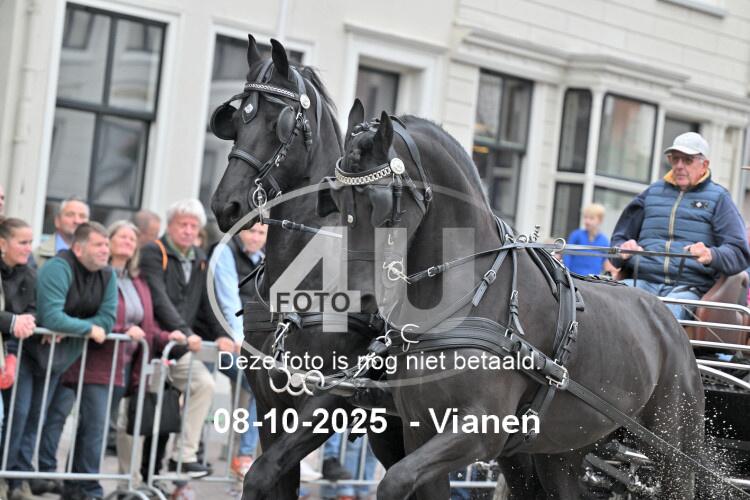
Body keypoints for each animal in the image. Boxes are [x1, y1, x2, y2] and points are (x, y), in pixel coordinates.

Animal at [209, 38, 405, 499]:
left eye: (276, 122)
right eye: (236, 120)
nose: (226, 206)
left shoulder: (330, 400)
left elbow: (260, 474)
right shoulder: (269, 405)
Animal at [316, 102, 707, 499]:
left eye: (381, 202)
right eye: (335, 198)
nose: (352, 297)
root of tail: (670, 322)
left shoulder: (480, 431)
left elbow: (395, 479)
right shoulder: (420, 430)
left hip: (673, 451)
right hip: (563, 450)